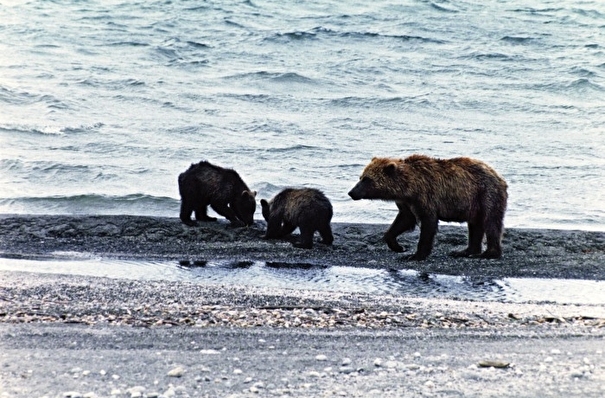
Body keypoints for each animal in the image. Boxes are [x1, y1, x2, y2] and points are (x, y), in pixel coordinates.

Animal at [346, 155, 508, 262]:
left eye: (367, 179)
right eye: (361, 177)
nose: (351, 192)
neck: (409, 187)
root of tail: (499, 175)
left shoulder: (426, 196)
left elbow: (428, 223)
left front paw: (415, 255)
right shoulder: (406, 203)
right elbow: (404, 220)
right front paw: (398, 246)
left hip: (485, 194)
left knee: (491, 222)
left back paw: (489, 253)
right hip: (474, 203)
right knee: (475, 225)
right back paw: (465, 251)